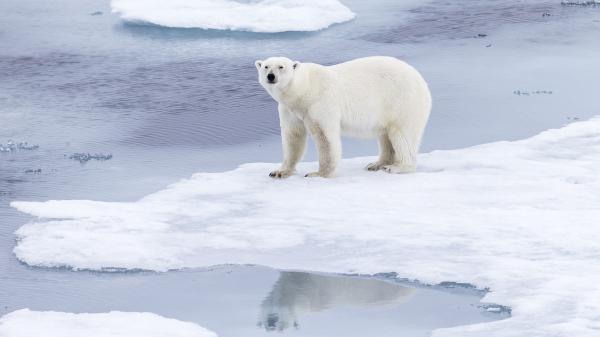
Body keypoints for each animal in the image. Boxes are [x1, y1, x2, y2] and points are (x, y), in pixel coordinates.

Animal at [255, 55, 428, 176]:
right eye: (266, 66)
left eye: (281, 66)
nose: (271, 76)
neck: (304, 89)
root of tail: (422, 81)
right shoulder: (290, 109)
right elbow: (293, 137)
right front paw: (279, 171)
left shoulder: (320, 103)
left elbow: (325, 138)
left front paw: (318, 173)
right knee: (386, 136)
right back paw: (376, 164)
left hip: (402, 102)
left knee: (402, 135)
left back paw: (397, 167)